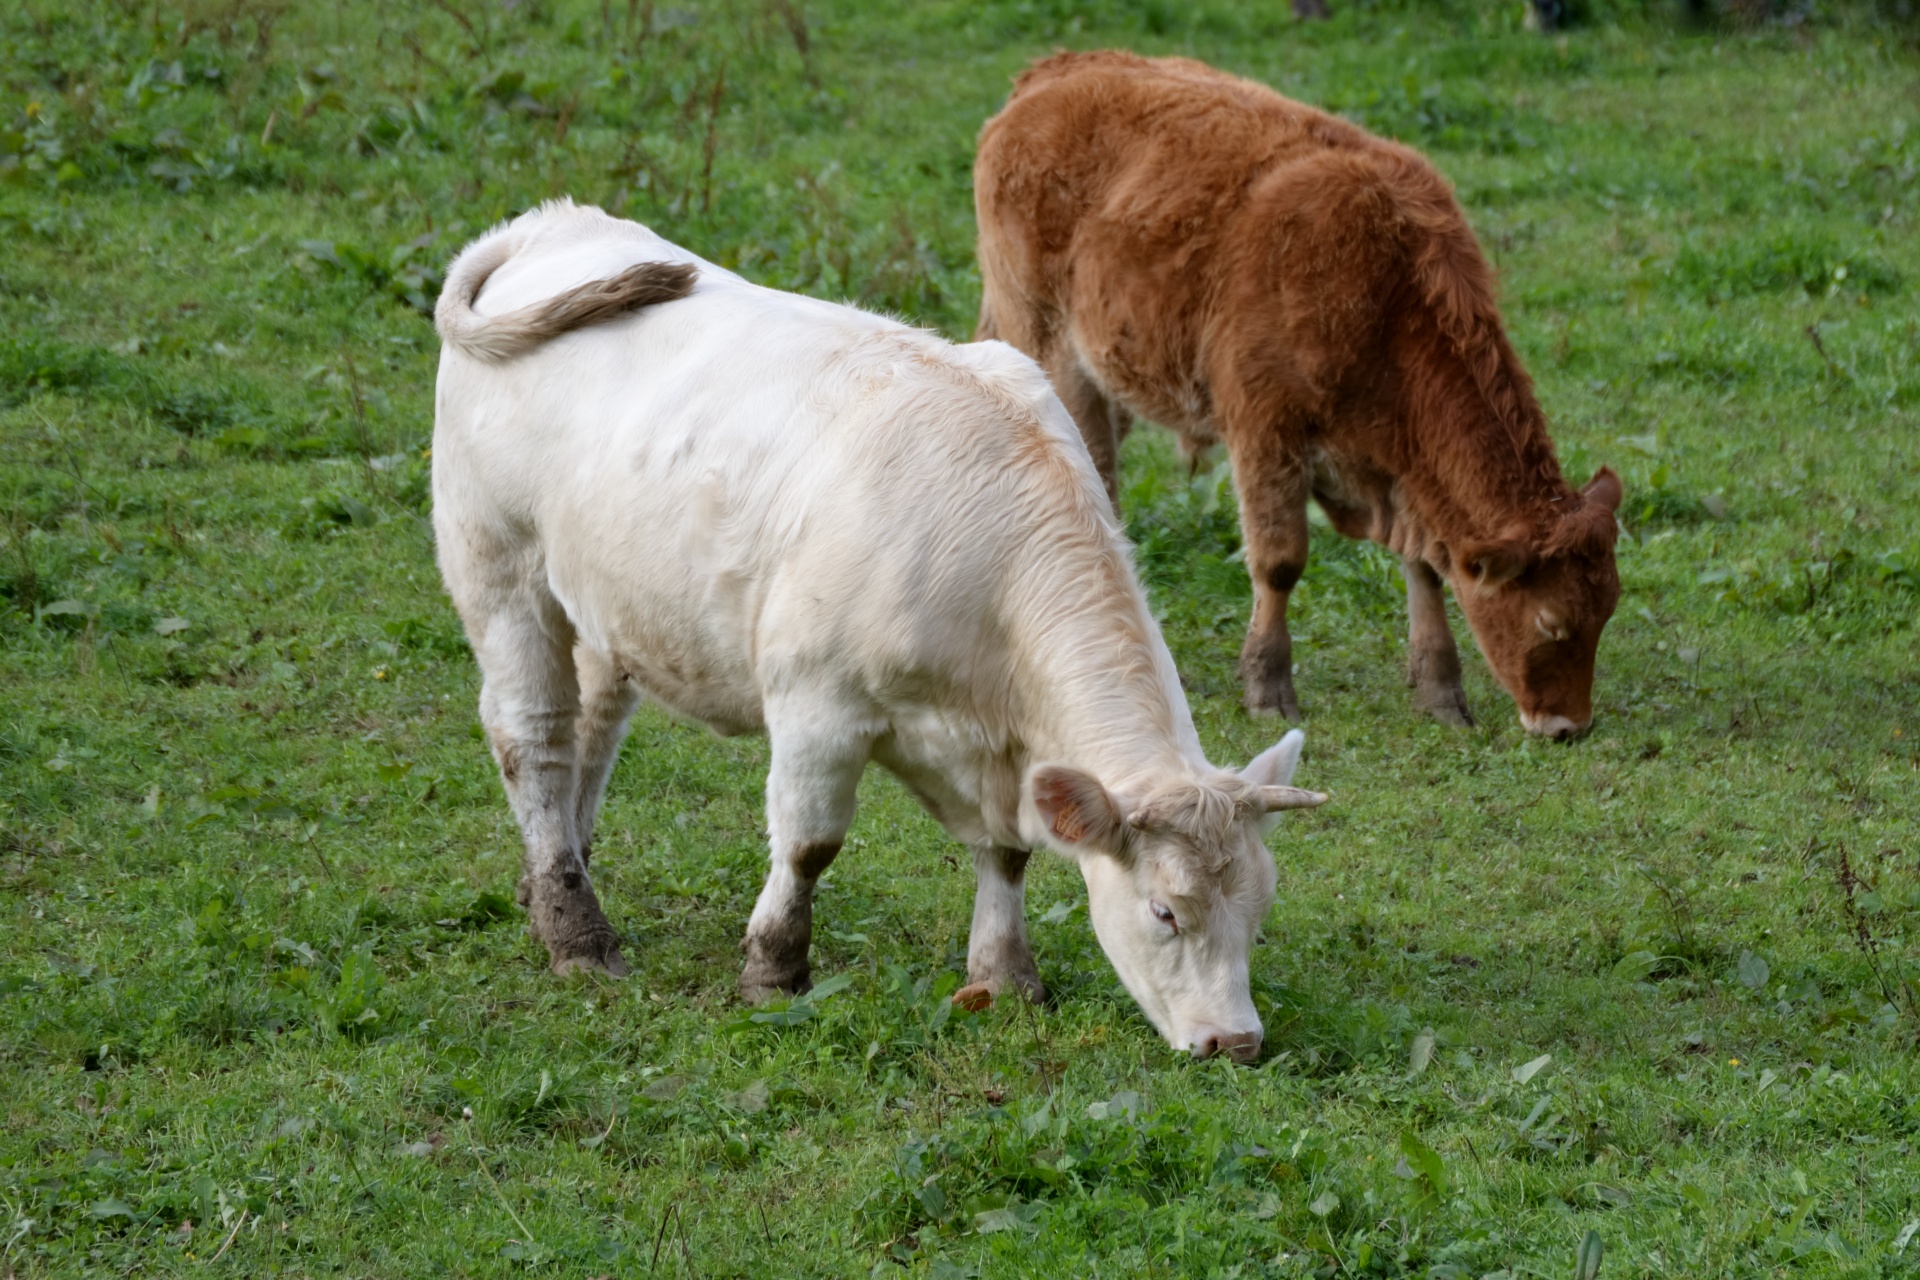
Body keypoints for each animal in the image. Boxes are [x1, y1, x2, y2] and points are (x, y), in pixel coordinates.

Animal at [428, 200, 1328, 1059]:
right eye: (1165, 911)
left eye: (1260, 909)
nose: (1236, 1042)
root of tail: (546, 227)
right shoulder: (816, 705)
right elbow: (808, 845)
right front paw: (774, 971)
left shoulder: (1001, 756)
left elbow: (1008, 850)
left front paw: (1005, 977)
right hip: (499, 562)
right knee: (534, 735)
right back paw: (576, 932)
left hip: (607, 602)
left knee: (593, 730)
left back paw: (549, 881)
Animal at [975, 50, 1620, 740]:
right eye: (1552, 623)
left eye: (1607, 610)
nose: (1568, 726)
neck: (1385, 296)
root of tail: (1058, 69)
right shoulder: (1264, 433)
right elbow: (1279, 562)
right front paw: (1267, 686)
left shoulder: (1401, 473)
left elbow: (1424, 566)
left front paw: (1441, 691)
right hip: (1043, 341)